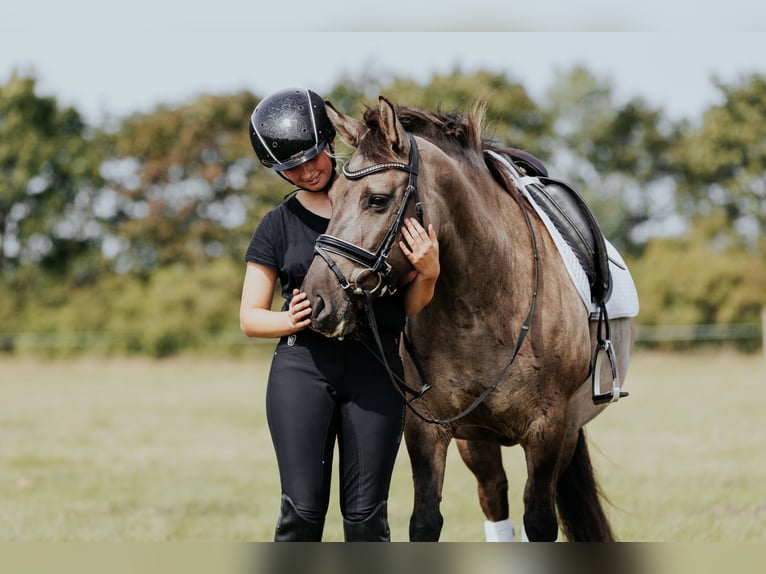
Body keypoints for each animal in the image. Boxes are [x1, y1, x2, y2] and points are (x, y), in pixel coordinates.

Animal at [300, 97, 636, 544]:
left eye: (376, 200)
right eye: (333, 197)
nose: (316, 300)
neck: (481, 306)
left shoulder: (547, 431)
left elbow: (539, 523)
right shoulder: (428, 431)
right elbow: (426, 521)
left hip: (564, 433)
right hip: (477, 442)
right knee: (495, 496)